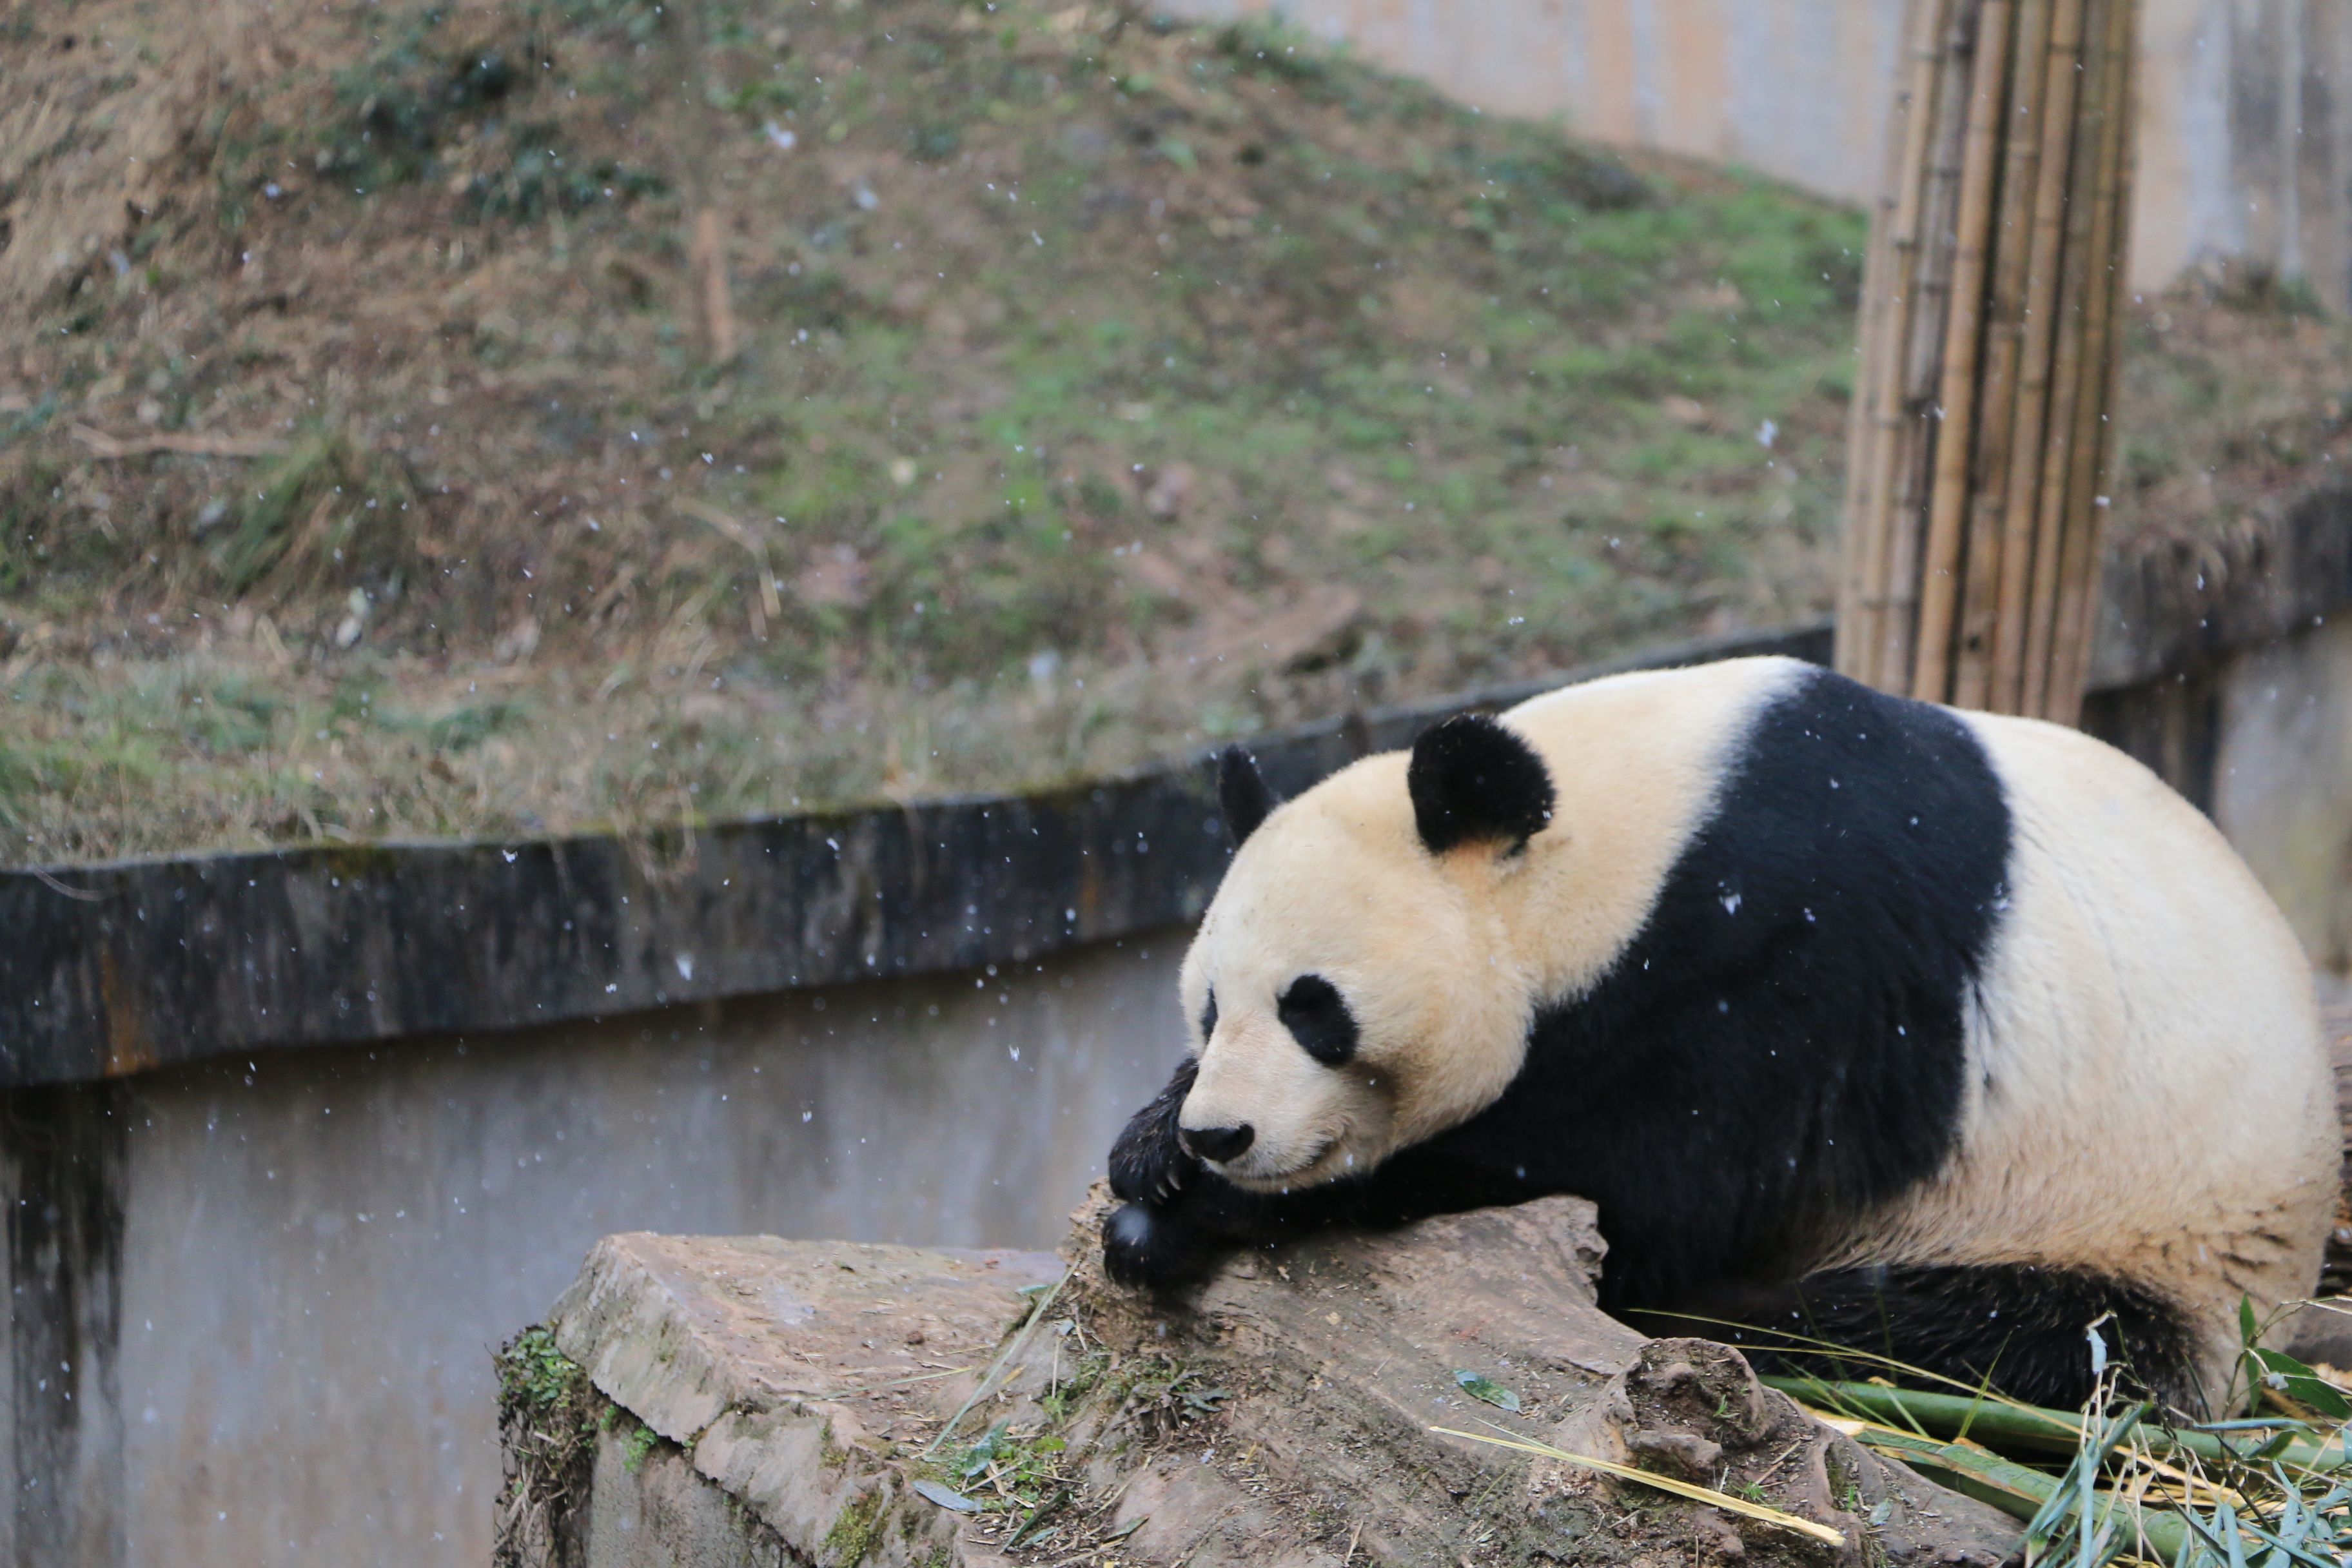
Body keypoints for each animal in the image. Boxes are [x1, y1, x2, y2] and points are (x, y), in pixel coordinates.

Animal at [1095, 658, 2333, 1420]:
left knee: (1940, 1337)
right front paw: (1150, 1147)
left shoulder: (1788, 952)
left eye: (1315, 1006)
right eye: (1210, 1008)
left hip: (2133, 1226)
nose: (1222, 1134)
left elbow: (1652, 1178)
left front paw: (1200, 1215)